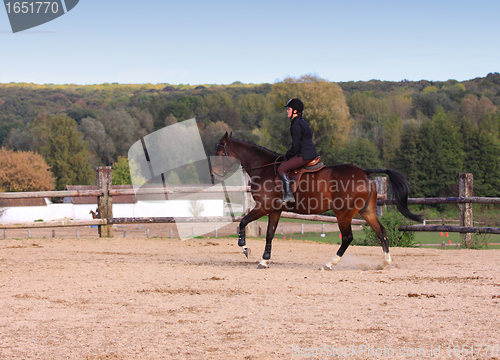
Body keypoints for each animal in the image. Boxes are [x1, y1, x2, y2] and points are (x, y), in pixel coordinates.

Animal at [211, 133, 422, 270]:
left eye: (219, 153)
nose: (213, 175)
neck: (264, 168)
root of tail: (365, 172)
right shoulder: (275, 210)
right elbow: (270, 233)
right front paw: (264, 260)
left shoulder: (263, 207)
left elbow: (243, 221)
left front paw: (245, 248)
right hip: (366, 211)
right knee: (381, 232)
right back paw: (384, 263)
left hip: (343, 214)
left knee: (347, 237)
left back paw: (330, 263)